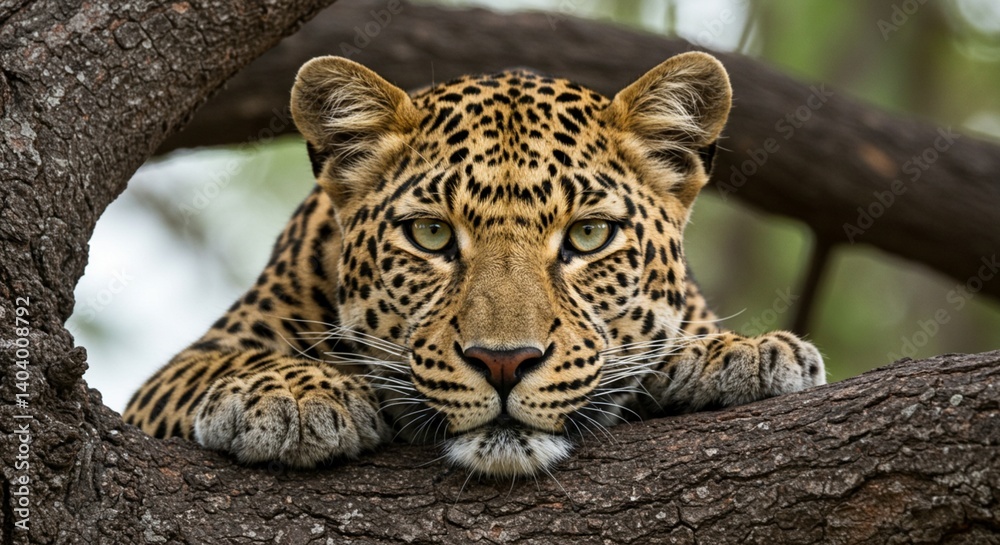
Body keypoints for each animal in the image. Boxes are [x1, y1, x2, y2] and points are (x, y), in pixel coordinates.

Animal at [123, 52, 825, 477]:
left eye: (589, 234)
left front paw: (739, 353)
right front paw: (294, 393)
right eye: (431, 234)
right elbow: (225, 362)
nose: (504, 363)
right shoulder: (171, 379)